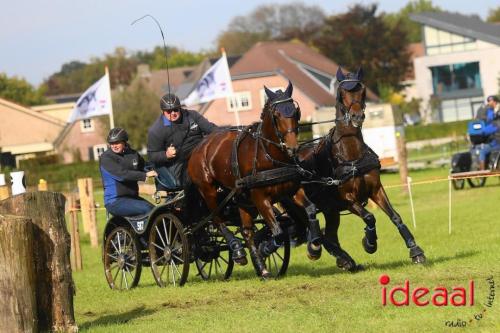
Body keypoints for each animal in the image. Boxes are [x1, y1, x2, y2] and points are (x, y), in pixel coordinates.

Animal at [188, 81, 302, 276]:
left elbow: (297, 221)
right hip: (209, 191)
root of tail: (198, 147)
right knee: (218, 220)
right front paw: (265, 249)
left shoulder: (288, 193)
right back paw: (237, 249)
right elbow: (279, 231)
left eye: (295, 112)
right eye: (276, 115)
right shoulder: (260, 198)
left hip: (240, 196)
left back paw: (261, 268)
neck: (267, 154)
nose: (292, 148)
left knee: (246, 231)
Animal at [294, 67, 428, 270]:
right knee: (315, 230)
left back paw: (345, 260)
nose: (357, 116)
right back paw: (317, 250)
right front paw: (369, 242)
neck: (352, 155)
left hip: (330, 210)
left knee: (330, 234)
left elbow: (395, 216)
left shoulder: (376, 189)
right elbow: (370, 217)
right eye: (342, 93)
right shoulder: (349, 199)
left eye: (363, 91)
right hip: (301, 207)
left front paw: (415, 250)